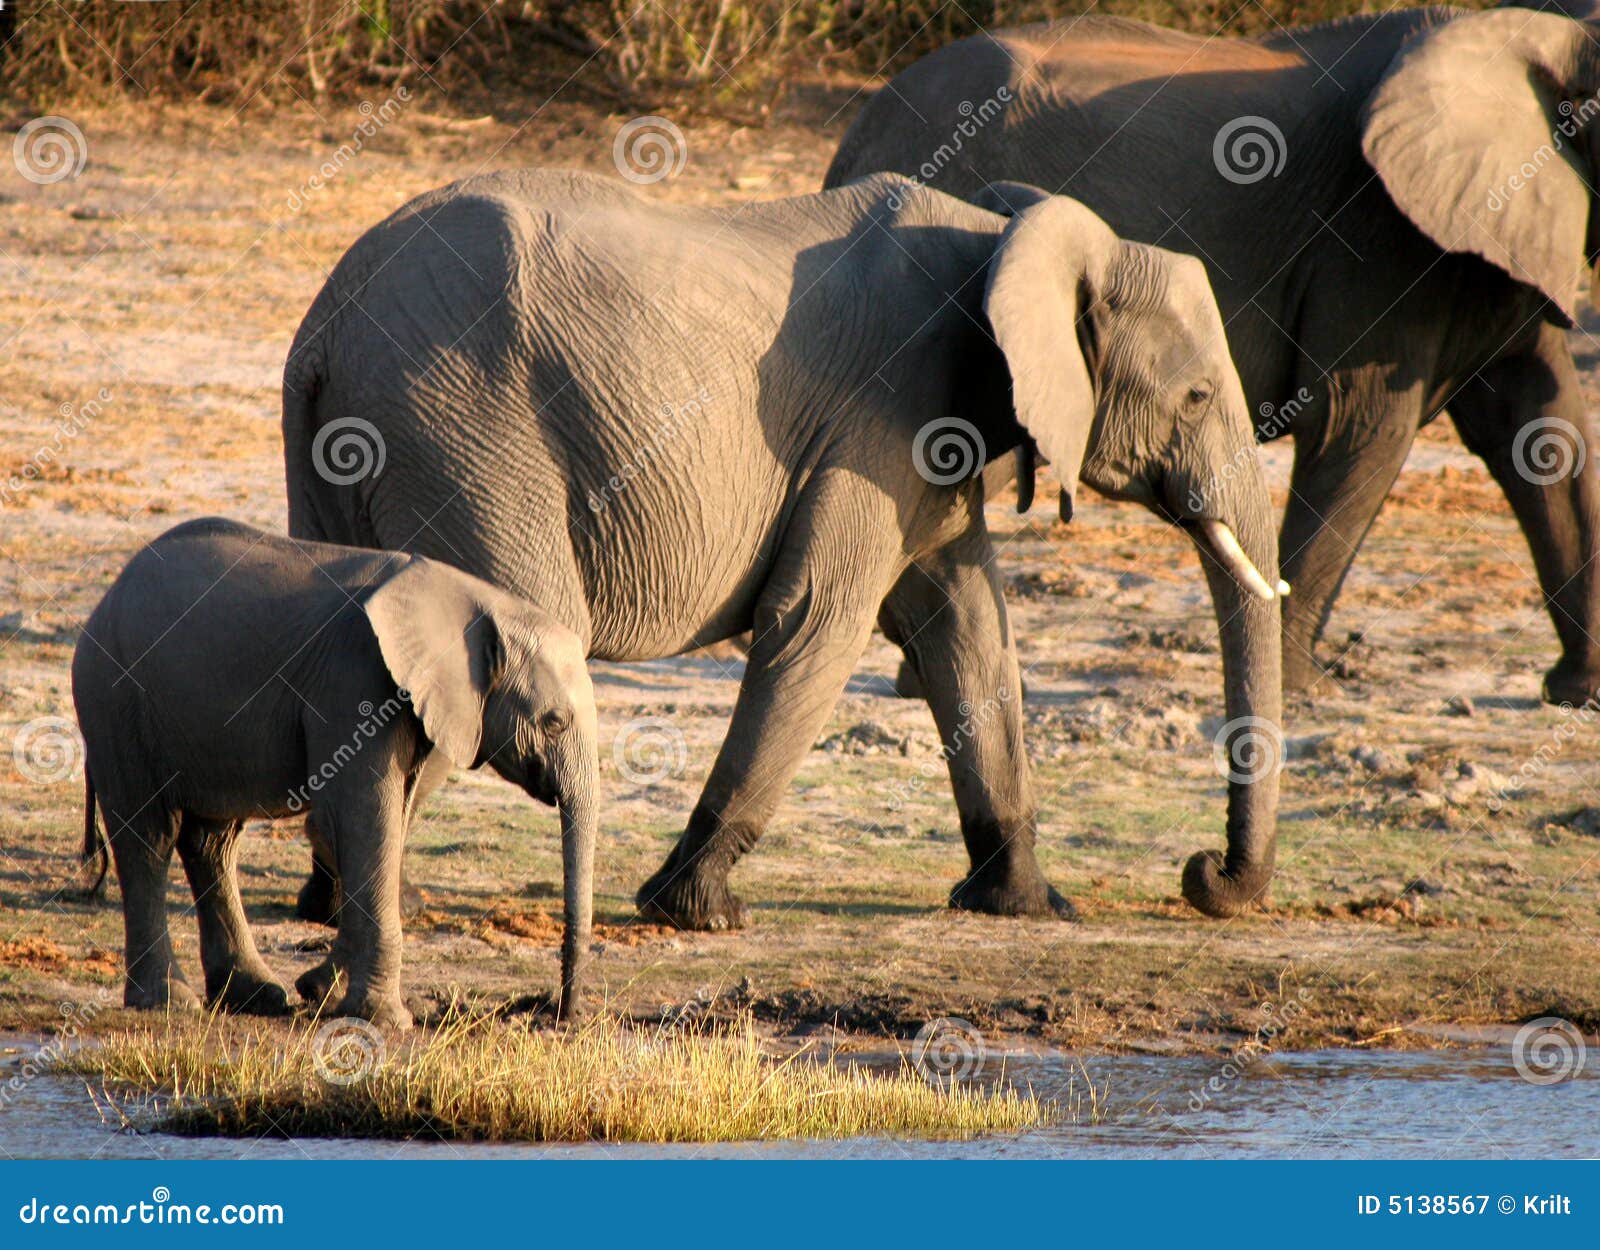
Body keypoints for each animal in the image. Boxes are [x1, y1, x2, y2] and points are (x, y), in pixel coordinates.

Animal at [75, 515, 601, 1024]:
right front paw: (381, 1018)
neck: (472, 599)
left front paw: (322, 990)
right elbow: (363, 820)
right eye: (554, 722)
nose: (558, 1016)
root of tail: (104, 599)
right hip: (114, 700)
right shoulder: (355, 681)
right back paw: (168, 1002)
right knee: (149, 838)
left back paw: (256, 998)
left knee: (212, 843)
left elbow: (383, 826)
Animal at [281, 168, 1286, 915]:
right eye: (1196, 397)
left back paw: (339, 902)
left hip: (360, 444)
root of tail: (325, 329)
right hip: (465, 425)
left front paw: (1028, 906)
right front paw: (694, 910)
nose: (1204, 875)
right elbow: (818, 621)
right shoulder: (883, 416)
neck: (1005, 232)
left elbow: (968, 627)